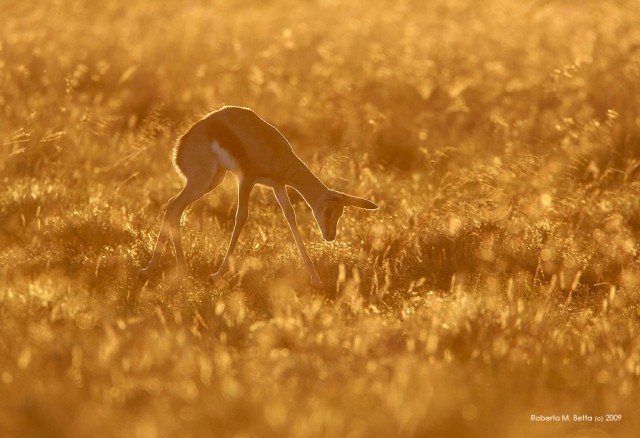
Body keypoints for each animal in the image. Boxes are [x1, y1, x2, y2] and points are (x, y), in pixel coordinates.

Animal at [139, 105, 378, 288]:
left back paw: (158, 269)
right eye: (329, 211)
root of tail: (180, 146)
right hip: (203, 181)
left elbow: (291, 218)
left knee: (173, 206)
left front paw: (316, 279)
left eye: (341, 213)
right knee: (175, 206)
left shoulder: (278, 185)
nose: (330, 236)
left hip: (212, 181)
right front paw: (217, 275)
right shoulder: (246, 179)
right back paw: (172, 270)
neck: (275, 151)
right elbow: (241, 217)